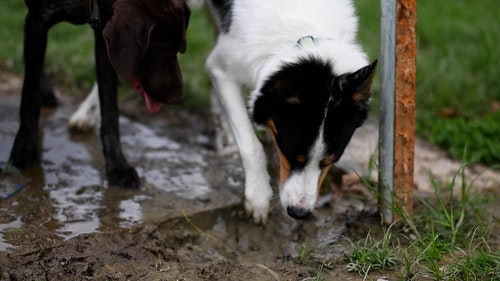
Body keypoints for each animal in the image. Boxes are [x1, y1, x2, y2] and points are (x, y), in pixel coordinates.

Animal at [9, 0, 189, 188]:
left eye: (179, 48)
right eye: (162, 49)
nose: (180, 98)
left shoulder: (107, 39)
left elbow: (110, 110)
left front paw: (117, 165)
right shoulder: (37, 22)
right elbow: (29, 94)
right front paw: (25, 147)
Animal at [205, 0, 376, 223]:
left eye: (329, 161)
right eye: (292, 154)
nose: (299, 213)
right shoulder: (221, 69)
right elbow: (251, 144)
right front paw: (258, 196)